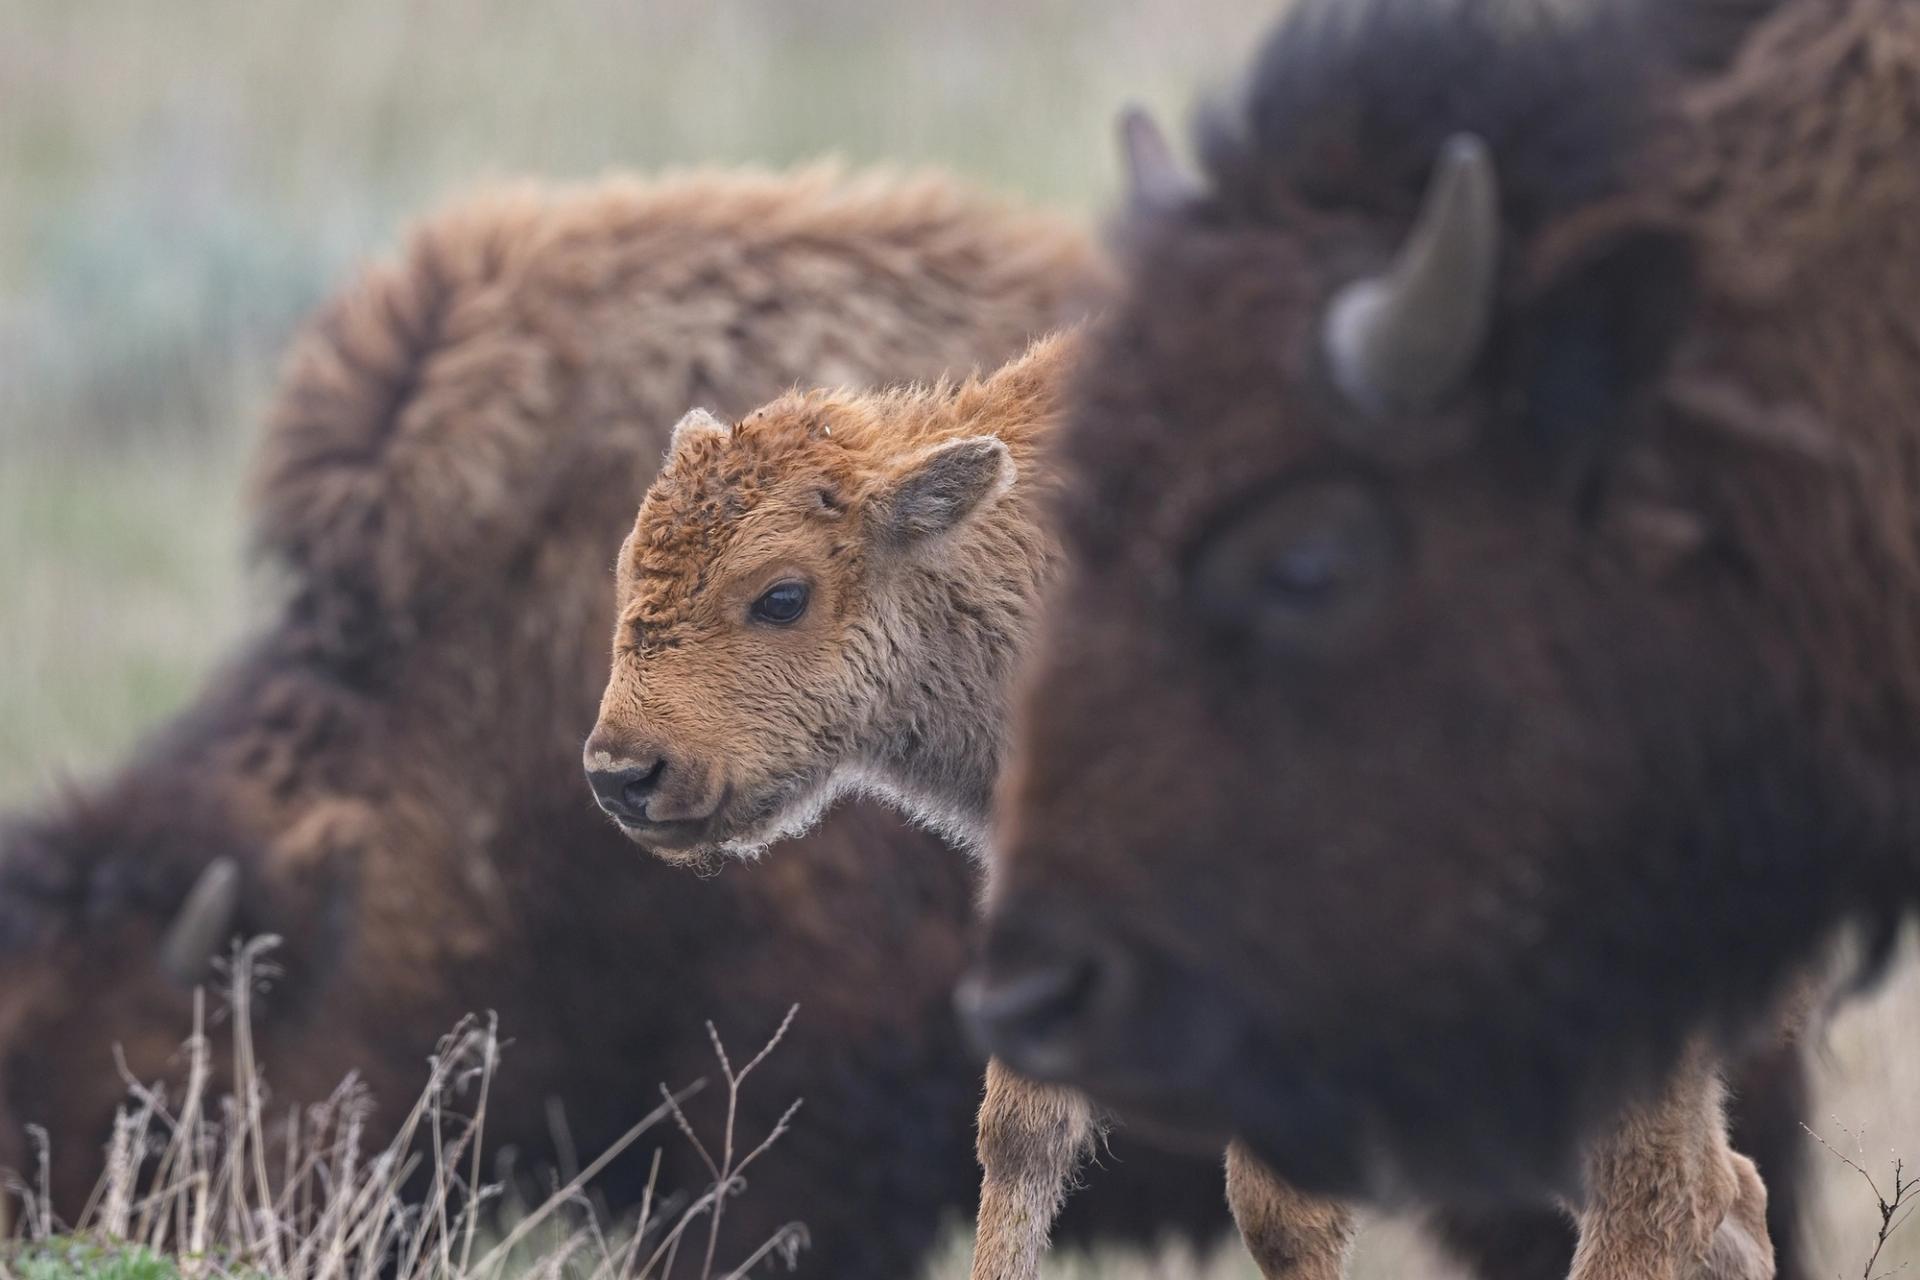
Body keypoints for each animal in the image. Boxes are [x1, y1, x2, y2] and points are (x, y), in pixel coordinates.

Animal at [576, 312, 1804, 1280]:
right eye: (629, 567)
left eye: (781, 594)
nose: (625, 772)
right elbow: (1021, 1134)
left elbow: (1278, 1201)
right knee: (1721, 1194)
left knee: (1663, 1192)